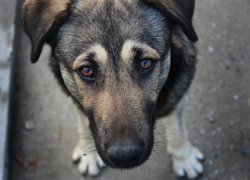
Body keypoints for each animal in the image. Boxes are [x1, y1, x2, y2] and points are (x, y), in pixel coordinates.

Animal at [21, 0, 204, 179]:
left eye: (146, 63)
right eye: (86, 70)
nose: (125, 156)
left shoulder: (176, 91)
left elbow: (177, 129)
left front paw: (185, 159)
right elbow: (84, 122)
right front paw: (88, 153)